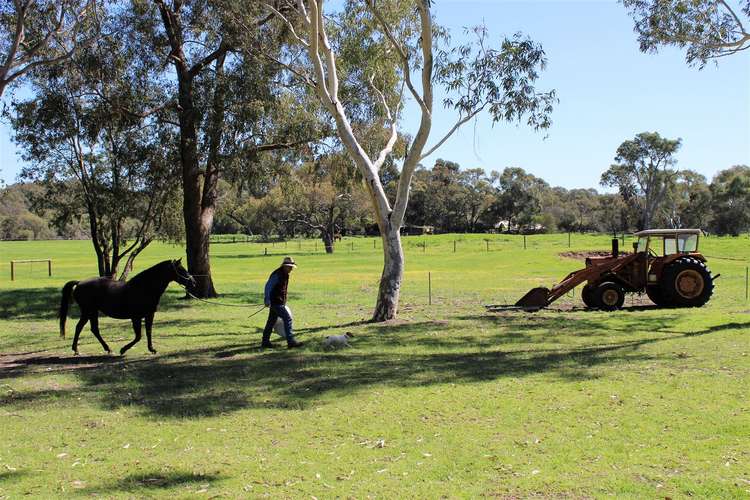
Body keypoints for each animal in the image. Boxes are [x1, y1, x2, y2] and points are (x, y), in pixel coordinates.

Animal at [58, 258, 195, 356]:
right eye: (181, 269)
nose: (193, 282)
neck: (144, 288)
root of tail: (79, 283)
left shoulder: (149, 315)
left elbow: (148, 332)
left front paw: (151, 349)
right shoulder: (136, 317)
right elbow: (138, 336)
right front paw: (123, 349)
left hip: (92, 312)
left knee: (93, 329)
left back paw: (106, 349)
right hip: (88, 311)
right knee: (80, 327)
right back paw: (77, 350)